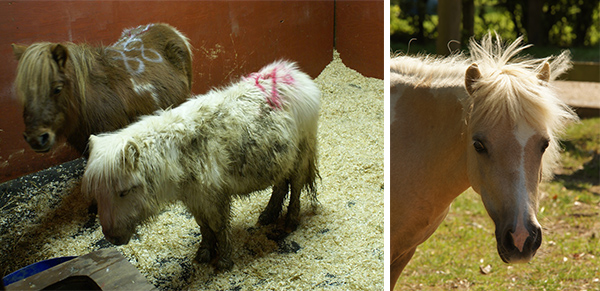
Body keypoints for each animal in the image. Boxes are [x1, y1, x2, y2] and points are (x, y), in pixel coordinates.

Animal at [82, 61, 322, 272]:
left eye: (124, 191)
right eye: (98, 193)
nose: (112, 237)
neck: (179, 154)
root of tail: (296, 76)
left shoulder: (214, 198)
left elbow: (219, 227)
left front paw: (224, 261)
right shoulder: (194, 199)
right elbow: (204, 227)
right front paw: (204, 253)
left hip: (301, 154)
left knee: (296, 187)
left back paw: (290, 221)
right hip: (282, 159)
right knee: (281, 184)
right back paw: (268, 215)